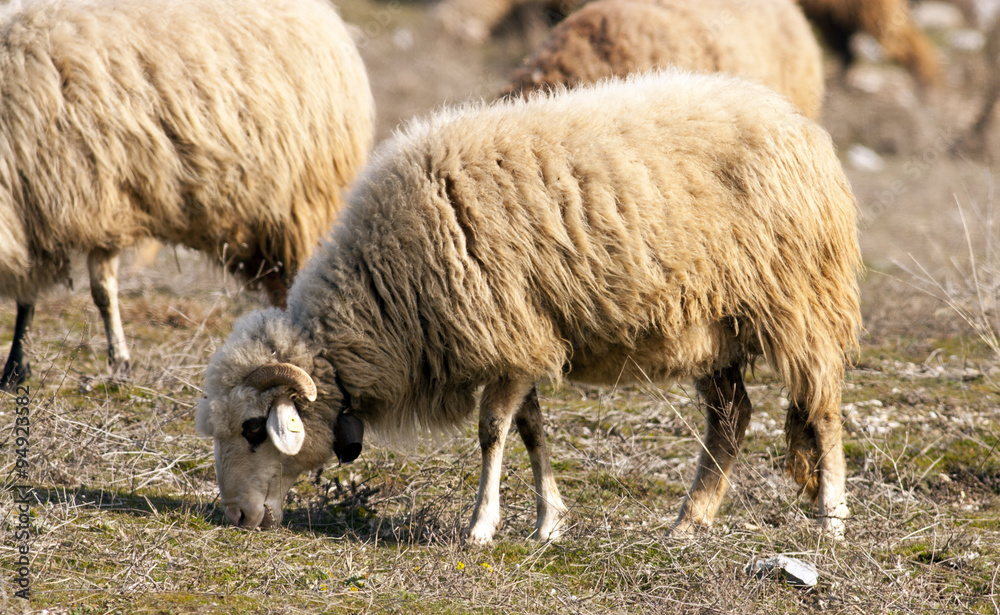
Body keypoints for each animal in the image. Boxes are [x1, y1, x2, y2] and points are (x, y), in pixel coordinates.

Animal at [0, 0, 375, 390]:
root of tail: (326, 14)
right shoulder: (44, 212)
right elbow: (55, 296)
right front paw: (20, 368)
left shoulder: (93, 197)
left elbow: (86, 291)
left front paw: (108, 364)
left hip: (300, 203)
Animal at [196, 69, 862, 543]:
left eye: (254, 429)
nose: (236, 518)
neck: (383, 293)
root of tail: (798, 124)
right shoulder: (523, 339)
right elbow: (531, 429)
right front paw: (547, 522)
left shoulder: (510, 335)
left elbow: (492, 431)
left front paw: (480, 527)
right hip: (714, 328)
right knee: (731, 418)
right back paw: (689, 522)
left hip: (801, 301)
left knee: (823, 411)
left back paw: (830, 522)